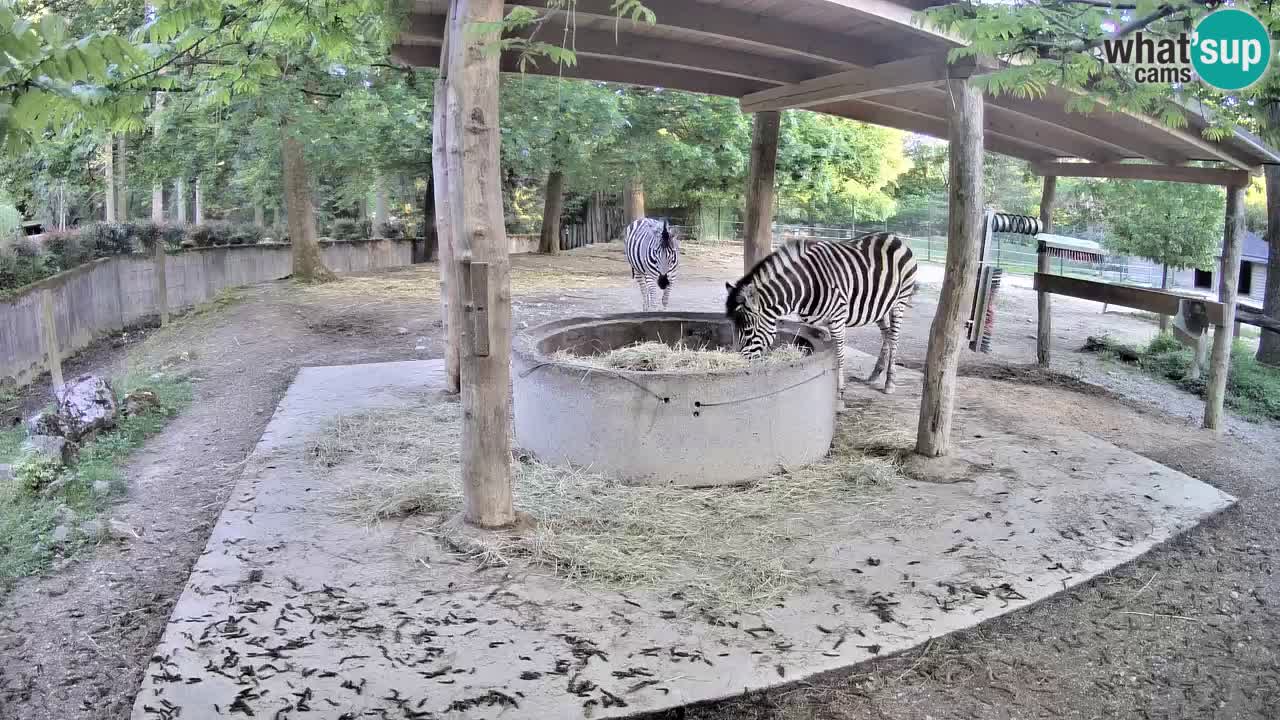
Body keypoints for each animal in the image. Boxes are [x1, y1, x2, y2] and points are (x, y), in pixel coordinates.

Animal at [724, 232, 917, 396]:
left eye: (748, 330)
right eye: (734, 328)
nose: (741, 368)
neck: (805, 287)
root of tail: (894, 237)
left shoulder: (838, 318)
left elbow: (839, 354)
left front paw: (839, 392)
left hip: (899, 302)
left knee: (894, 338)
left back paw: (890, 383)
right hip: (879, 306)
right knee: (887, 335)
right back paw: (875, 374)